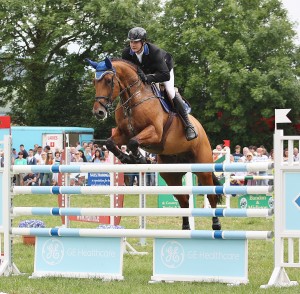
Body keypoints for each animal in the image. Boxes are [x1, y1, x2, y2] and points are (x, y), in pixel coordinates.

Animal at [86, 55, 223, 230]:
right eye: (94, 82)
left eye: (109, 81)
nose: (99, 112)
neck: (133, 99)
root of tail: (200, 128)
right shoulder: (123, 133)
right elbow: (110, 143)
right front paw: (127, 158)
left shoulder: (155, 132)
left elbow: (133, 142)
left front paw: (138, 159)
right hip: (171, 175)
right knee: (183, 199)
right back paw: (186, 227)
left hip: (202, 168)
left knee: (211, 195)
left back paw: (216, 224)